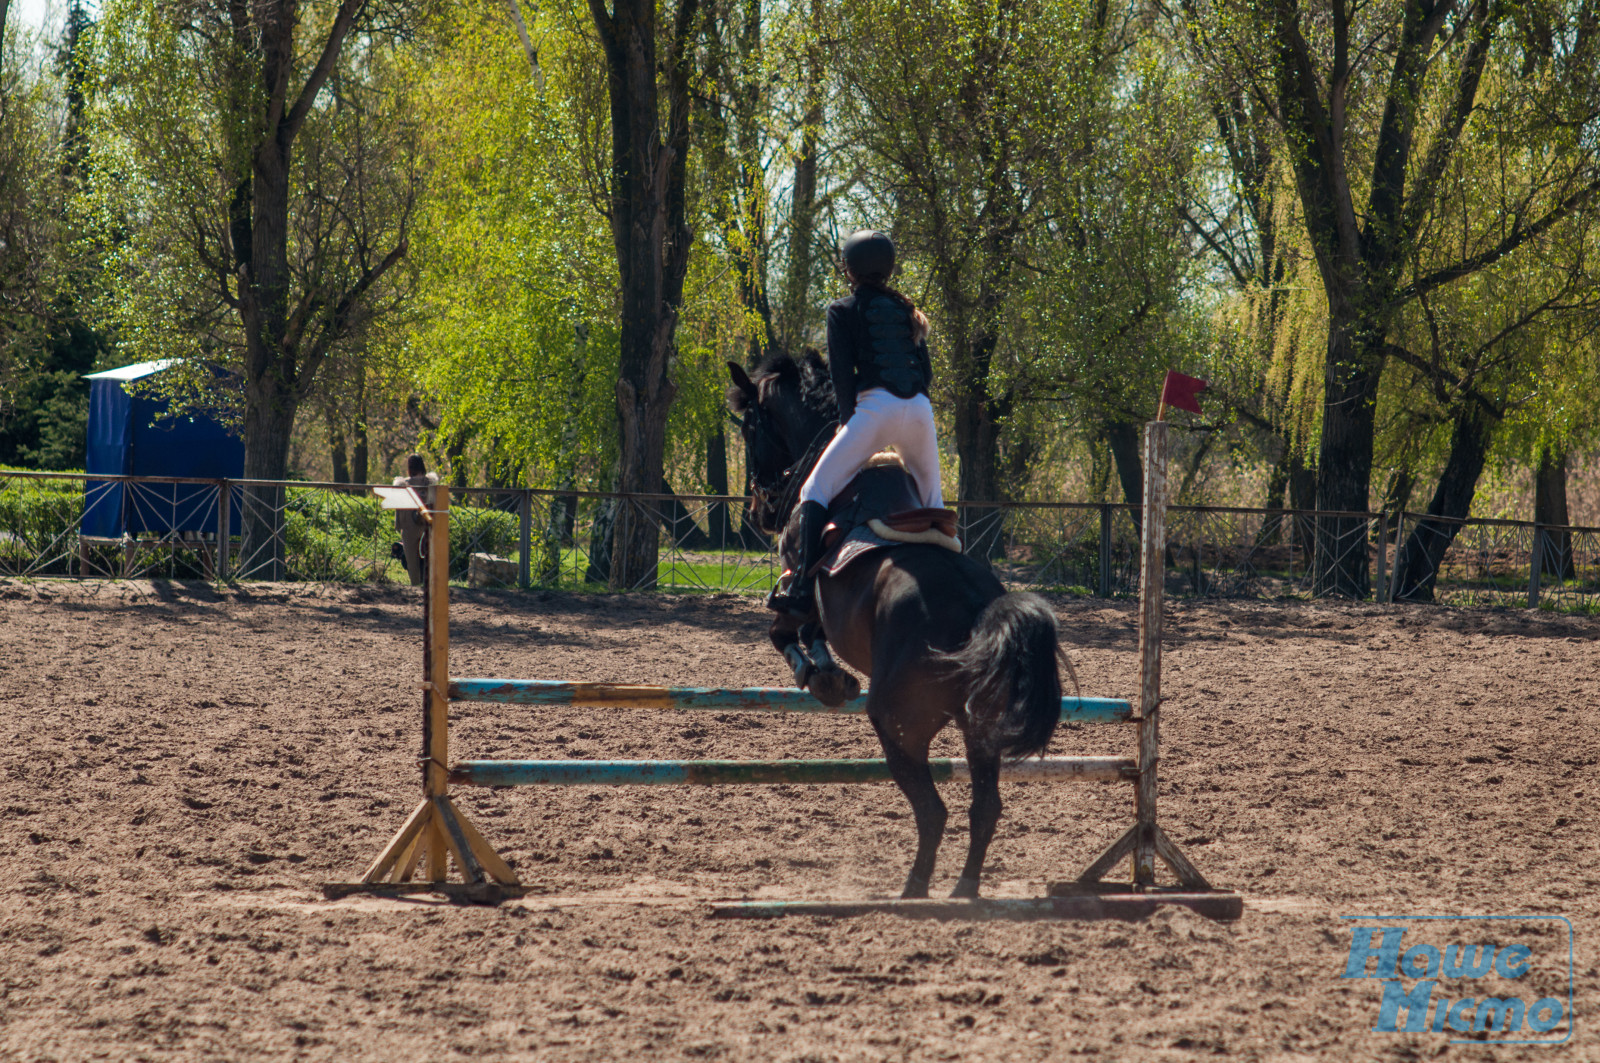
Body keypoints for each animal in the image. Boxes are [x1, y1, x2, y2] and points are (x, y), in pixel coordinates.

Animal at [729, 352, 1075, 902]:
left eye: (749, 427)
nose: (760, 511)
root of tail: (979, 611)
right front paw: (827, 674)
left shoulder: (798, 594)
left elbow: (786, 631)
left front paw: (824, 677)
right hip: (980, 727)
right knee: (984, 809)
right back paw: (964, 889)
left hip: (899, 723)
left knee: (933, 811)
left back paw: (915, 888)